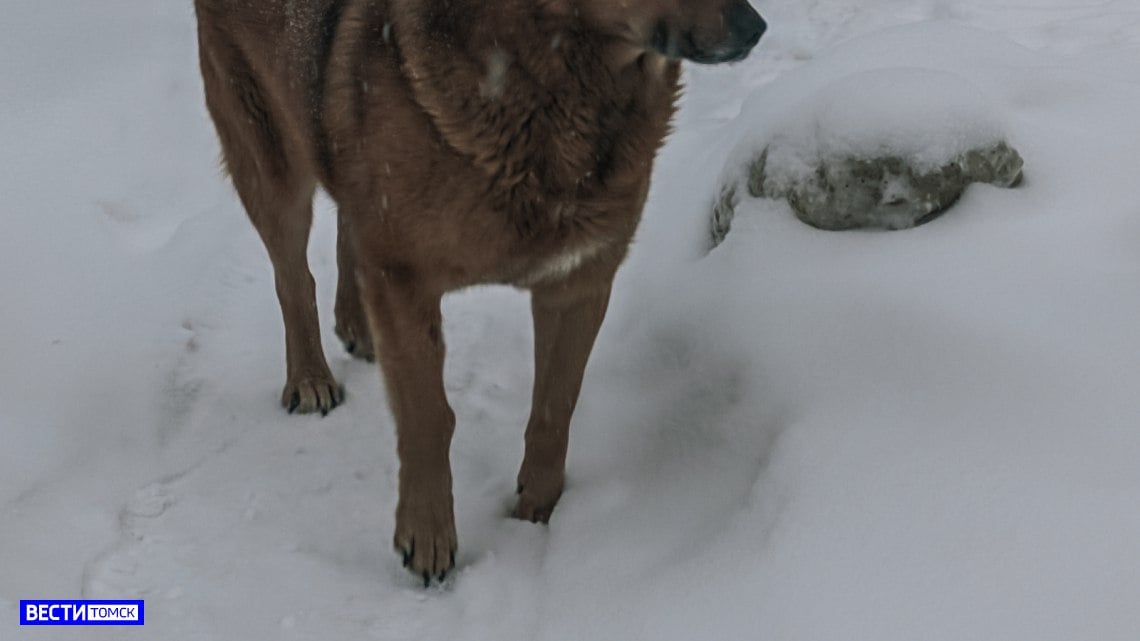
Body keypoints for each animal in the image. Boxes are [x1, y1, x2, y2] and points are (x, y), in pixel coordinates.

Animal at [193, 0, 766, 581]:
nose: (755, 29)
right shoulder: (405, 281)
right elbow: (429, 418)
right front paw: (427, 535)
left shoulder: (578, 282)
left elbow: (554, 408)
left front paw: (539, 512)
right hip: (269, 160)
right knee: (293, 277)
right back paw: (310, 376)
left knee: (347, 226)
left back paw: (358, 325)